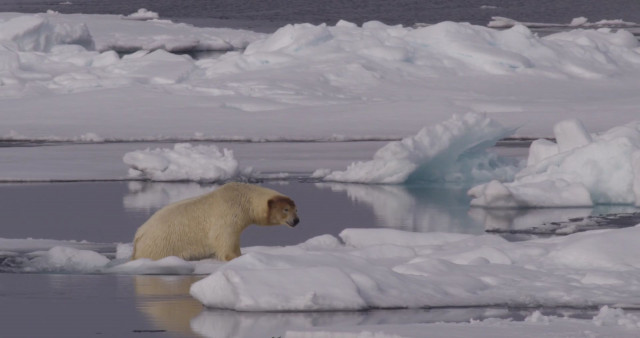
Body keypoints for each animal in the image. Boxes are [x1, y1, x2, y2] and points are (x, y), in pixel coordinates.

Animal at [132, 182, 300, 262]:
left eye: (296, 209)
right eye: (285, 209)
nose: (296, 220)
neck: (243, 198)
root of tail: (139, 235)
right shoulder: (228, 214)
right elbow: (224, 238)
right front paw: (235, 257)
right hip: (161, 245)